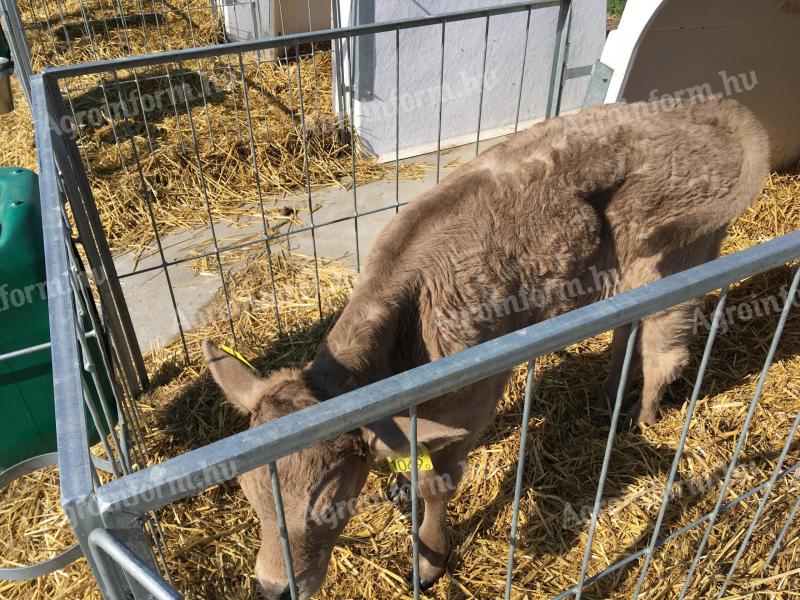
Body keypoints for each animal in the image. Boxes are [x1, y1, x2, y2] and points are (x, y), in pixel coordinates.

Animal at [203, 96, 764, 596]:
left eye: (331, 505)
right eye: (248, 494)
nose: (274, 588)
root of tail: (709, 107)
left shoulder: (474, 396)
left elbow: (437, 483)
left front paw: (429, 559)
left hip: (675, 254)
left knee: (664, 346)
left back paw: (643, 416)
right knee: (628, 329)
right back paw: (609, 398)